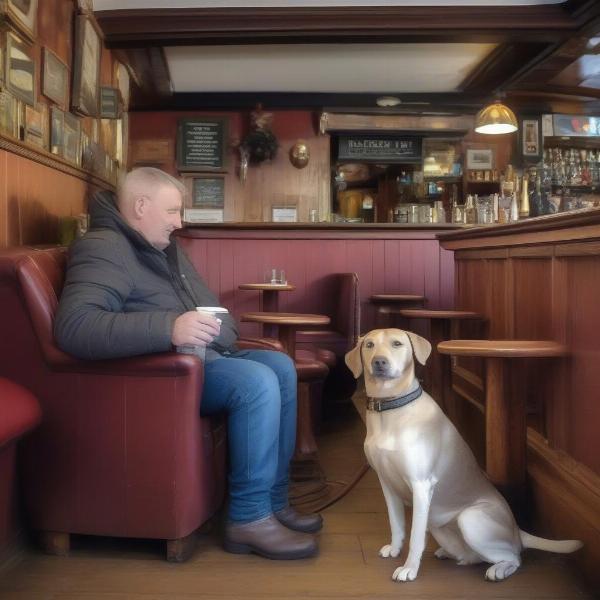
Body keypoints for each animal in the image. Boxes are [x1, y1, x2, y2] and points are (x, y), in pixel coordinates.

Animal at [344, 328, 584, 580]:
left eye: (397, 344)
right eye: (369, 345)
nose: (379, 361)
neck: (390, 409)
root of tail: (517, 531)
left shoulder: (421, 485)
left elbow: (416, 536)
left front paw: (409, 568)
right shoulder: (387, 484)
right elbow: (397, 524)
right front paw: (394, 548)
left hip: (470, 519)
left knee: (514, 556)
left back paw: (499, 570)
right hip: (440, 527)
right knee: (475, 556)